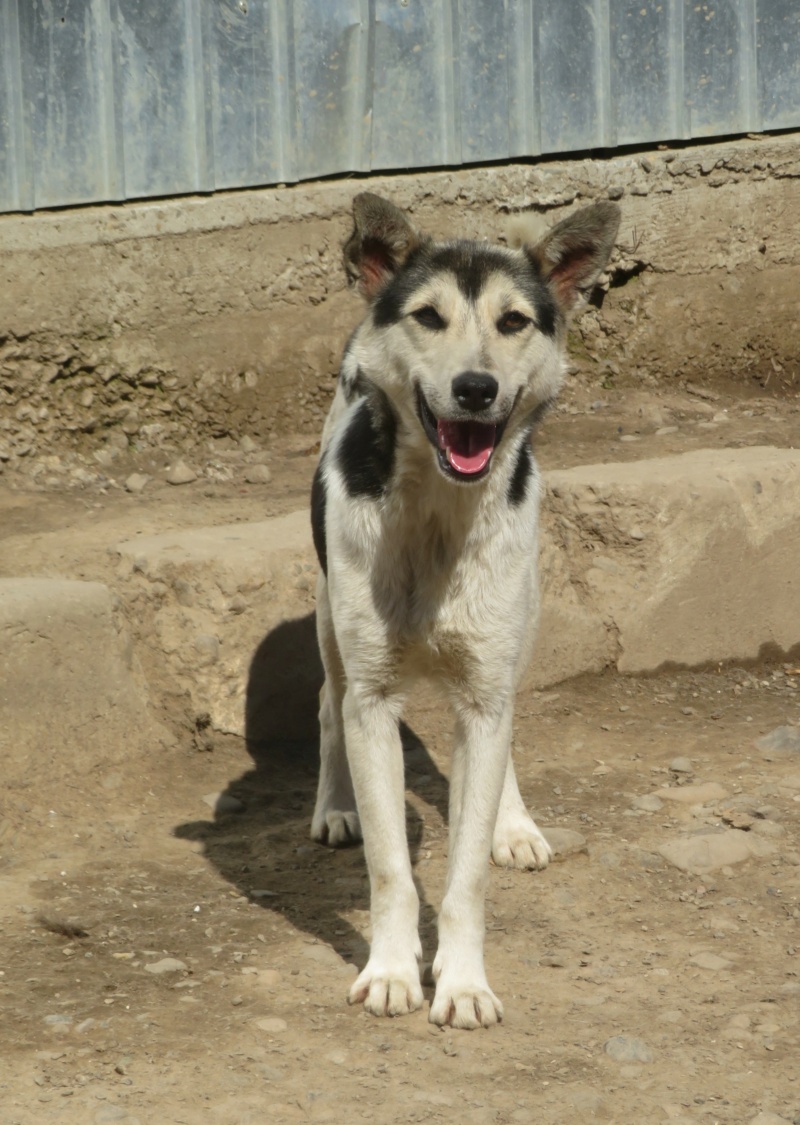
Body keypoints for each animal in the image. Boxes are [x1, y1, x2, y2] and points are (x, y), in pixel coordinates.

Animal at [306, 193, 621, 1030]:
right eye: (428, 316)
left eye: (513, 321)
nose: (476, 387)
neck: (439, 518)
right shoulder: (374, 695)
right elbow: (390, 866)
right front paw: (390, 970)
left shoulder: (485, 689)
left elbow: (467, 872)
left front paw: (465, 980)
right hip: (327, 621)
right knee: (327, 701)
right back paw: (335, 806)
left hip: (521, 625)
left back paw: (514, 823)